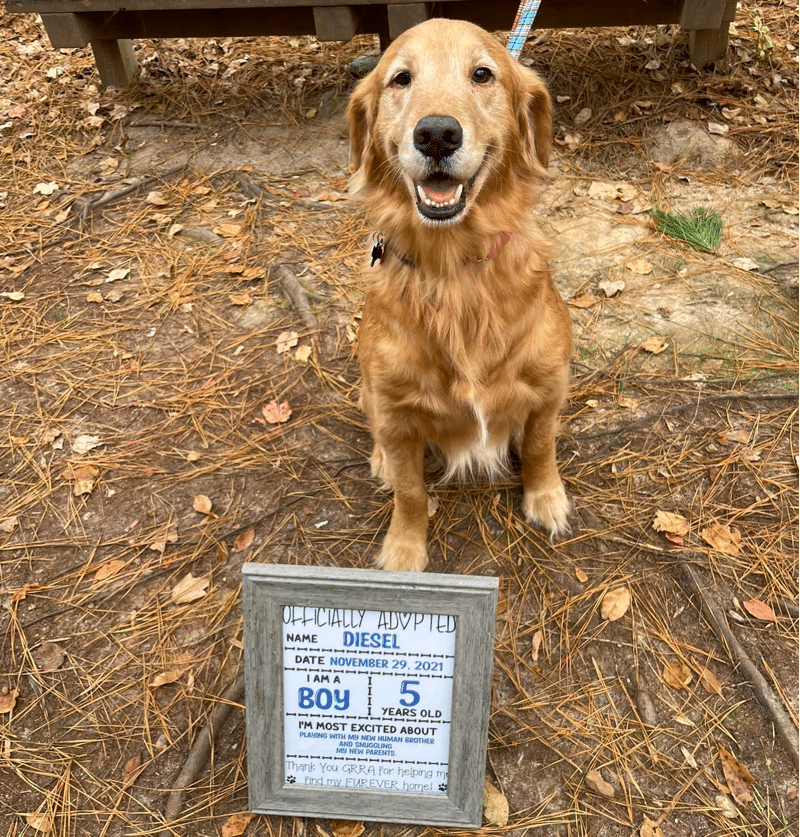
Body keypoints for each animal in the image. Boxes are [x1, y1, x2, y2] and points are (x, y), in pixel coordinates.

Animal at [346, 16, 572, 572]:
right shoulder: (397, 412)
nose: (436, 134)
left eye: (483, 74)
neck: (454, 270)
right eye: (401, 78)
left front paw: (546, 498)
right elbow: (409, 492)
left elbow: (540, 448)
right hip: (370, 390)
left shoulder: (549, 388)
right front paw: (404, 548)